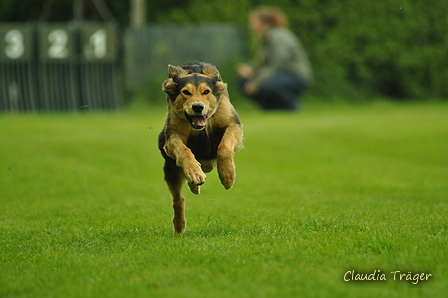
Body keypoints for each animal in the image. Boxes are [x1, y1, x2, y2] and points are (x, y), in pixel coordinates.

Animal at [157, 61, 242, 233]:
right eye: (185, 92)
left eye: (206, 92)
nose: (197, 107)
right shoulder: (172, 135)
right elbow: (183, 150)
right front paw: (194, 173)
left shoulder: (232, 122)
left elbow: (224, 146)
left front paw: (227, 176)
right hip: (170, 168)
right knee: (178, 199)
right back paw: (179, 224)